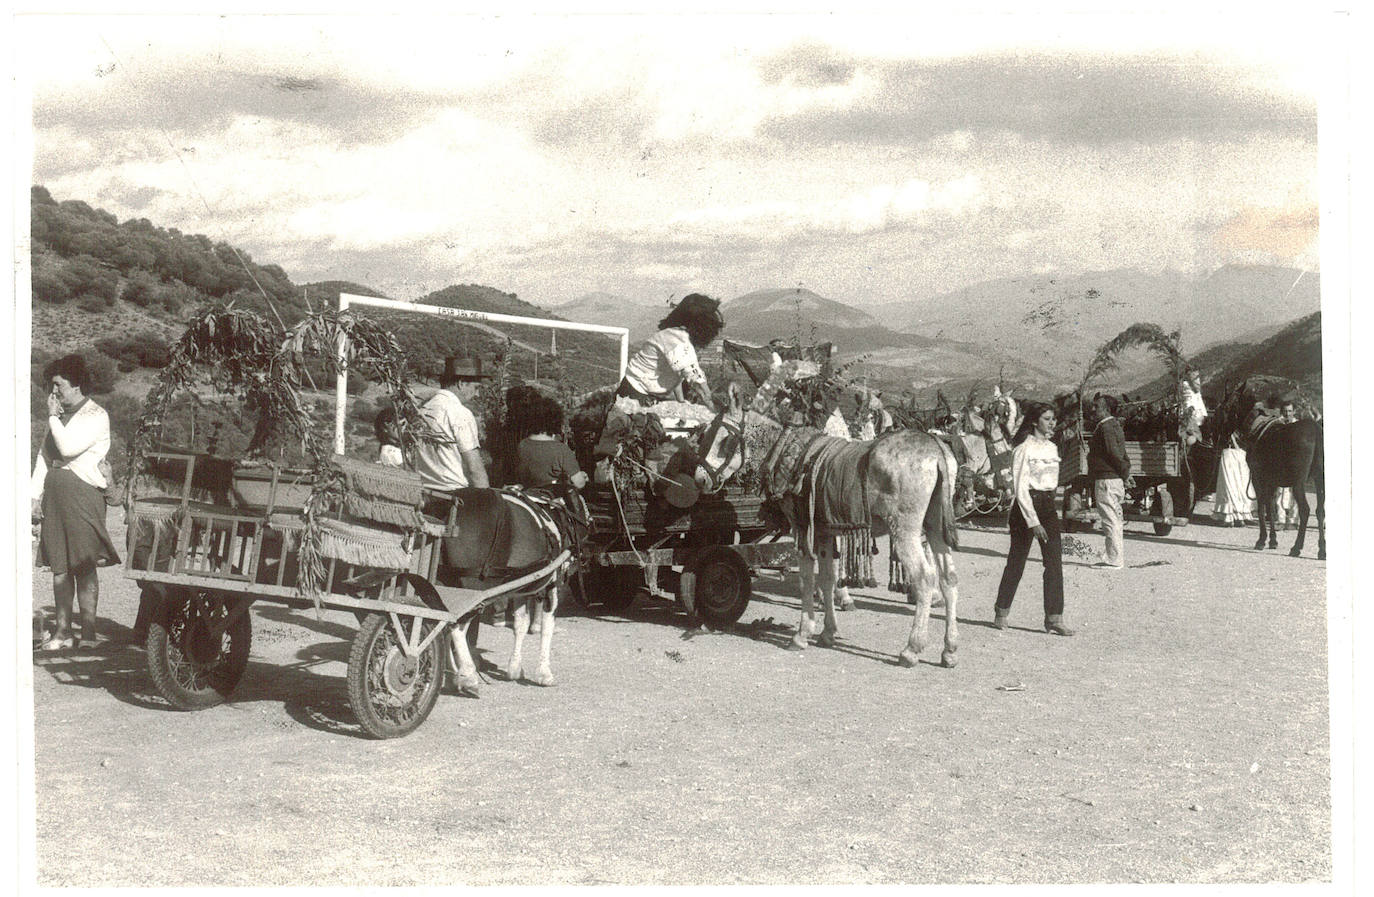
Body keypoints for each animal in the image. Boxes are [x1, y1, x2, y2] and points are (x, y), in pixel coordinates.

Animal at [703, 354, 961, 664]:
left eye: (723, 440)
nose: (700, 478)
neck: (788, 451)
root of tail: (936, 449)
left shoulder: (803, 529)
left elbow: (806, 580)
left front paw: (802, 634)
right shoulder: (825, 531)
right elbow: (827, 579)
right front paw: (828, 632)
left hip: (906, 530)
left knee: (925, 579)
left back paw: (912, 648)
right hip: (935, 524)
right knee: (948, 579)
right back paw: (949, 650)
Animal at [1242, 412, 1324, 560]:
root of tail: (1316, 430)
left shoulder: (1258, 478)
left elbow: (1262, 508)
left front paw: (1261, 540)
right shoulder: (1272, 482)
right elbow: (1270, 509)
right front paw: (1273, 541)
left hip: (1298, 483)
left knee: (1305, 510)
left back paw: (1296, 548)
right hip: (1320, 480)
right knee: (1320, 511)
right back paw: (1322, 551)